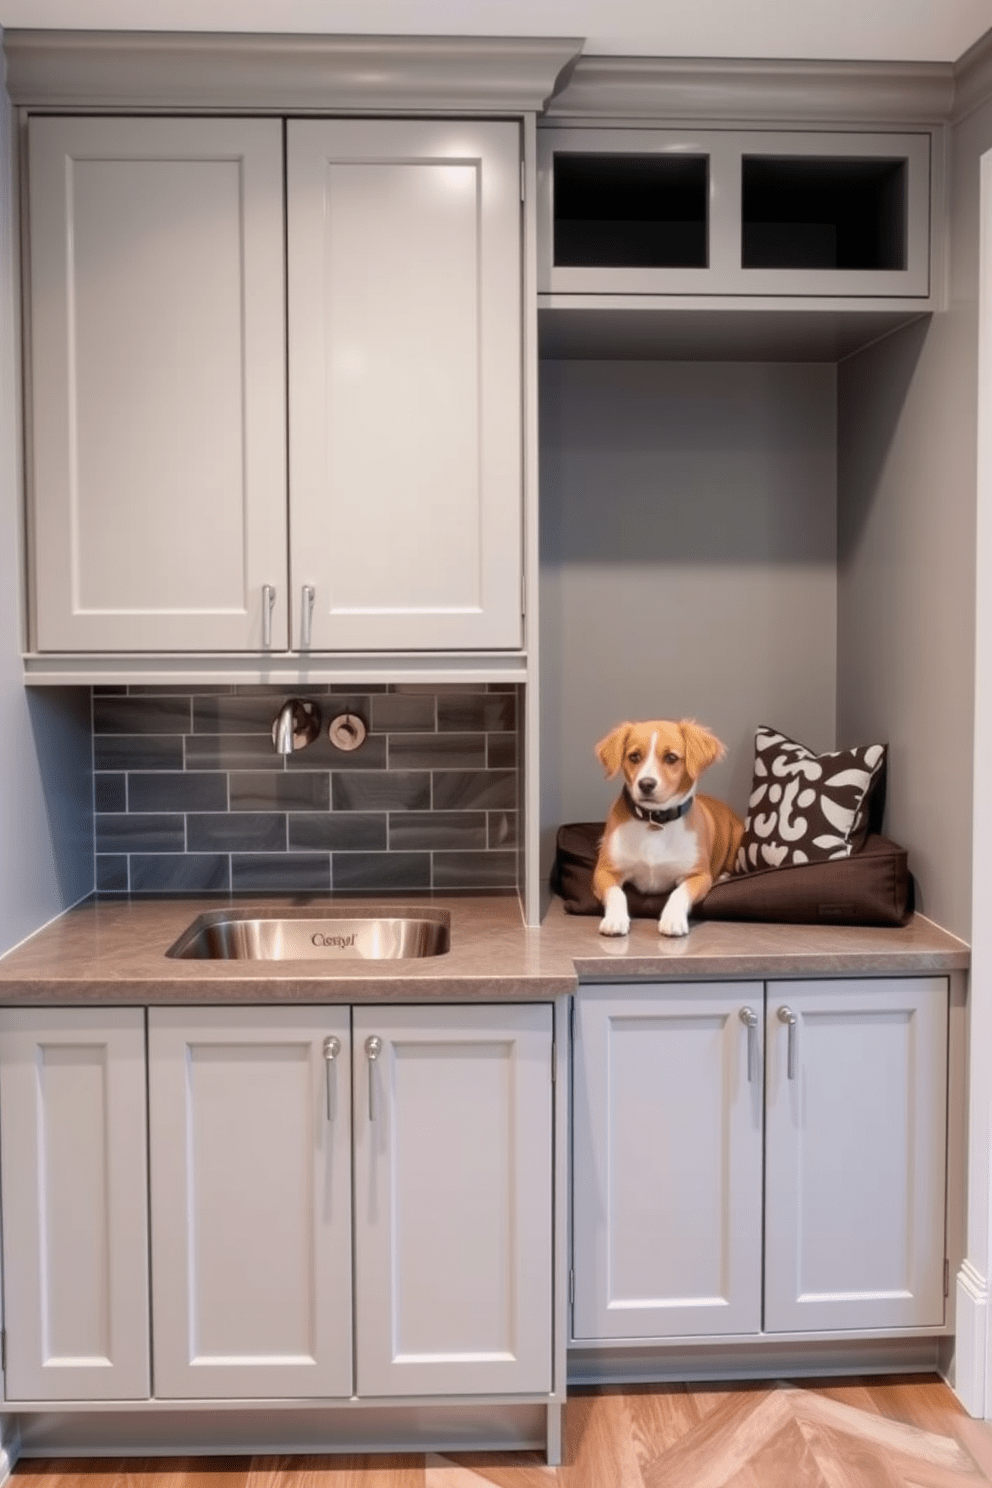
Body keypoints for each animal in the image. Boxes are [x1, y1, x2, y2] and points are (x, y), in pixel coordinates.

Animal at [588, 720, 743, 940]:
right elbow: (616, 893)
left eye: (671, 758)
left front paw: (673, 919)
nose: (646, 784)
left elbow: (679, 893)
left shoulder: (698, 876)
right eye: (634, 756)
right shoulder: (605, 871)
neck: (655, 821)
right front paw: (615, 919)